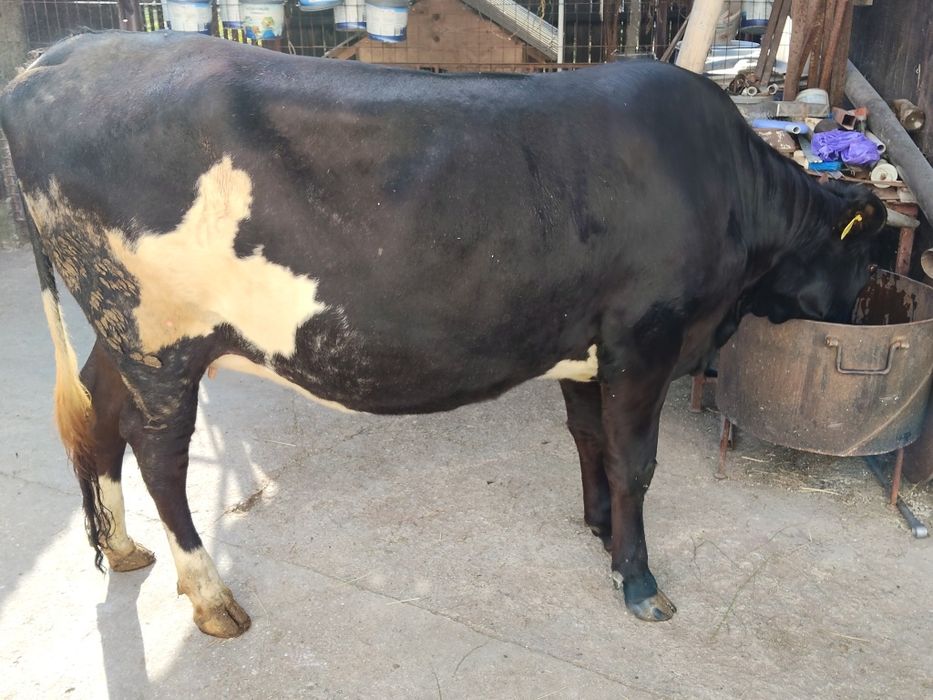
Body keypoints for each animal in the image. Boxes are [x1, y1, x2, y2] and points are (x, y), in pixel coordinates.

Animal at [1, 30, 886, 638]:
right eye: (866, 257)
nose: (855, 319)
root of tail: (59, 55)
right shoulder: (645, 337)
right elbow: (635, 462)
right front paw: (639, 582)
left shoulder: (585, 343)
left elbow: (589, 441)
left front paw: (599, 530)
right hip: (157, 335)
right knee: (159, 453)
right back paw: (213, 597)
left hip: (116, 324)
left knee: (100, 418)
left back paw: (123, 548)